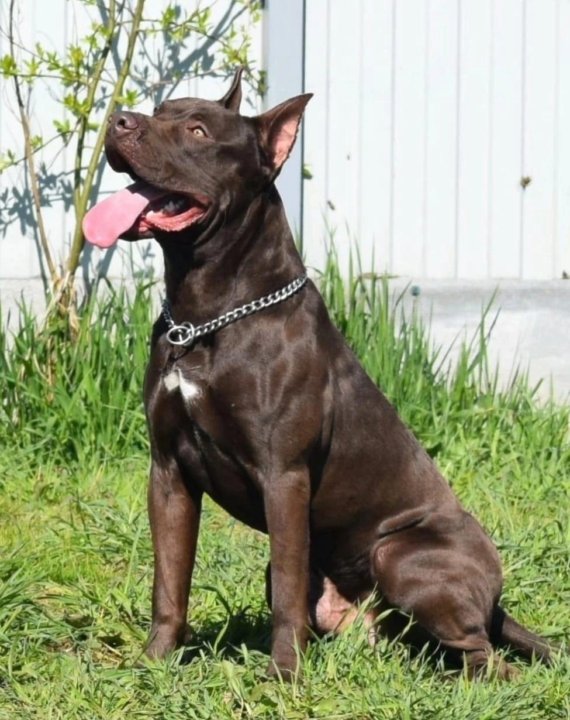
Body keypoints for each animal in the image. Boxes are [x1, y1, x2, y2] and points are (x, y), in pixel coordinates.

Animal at [83, 69, 553, 679]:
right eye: (161, 109)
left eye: (196, 130)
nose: (118, 120)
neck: (205, 315)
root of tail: (496, 603)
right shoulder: (168, 474)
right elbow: (170, 579)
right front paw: (156, 661)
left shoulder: (284, 475)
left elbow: (286, 585)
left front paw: (283, 675)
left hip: (399, 553)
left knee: (487, 657)